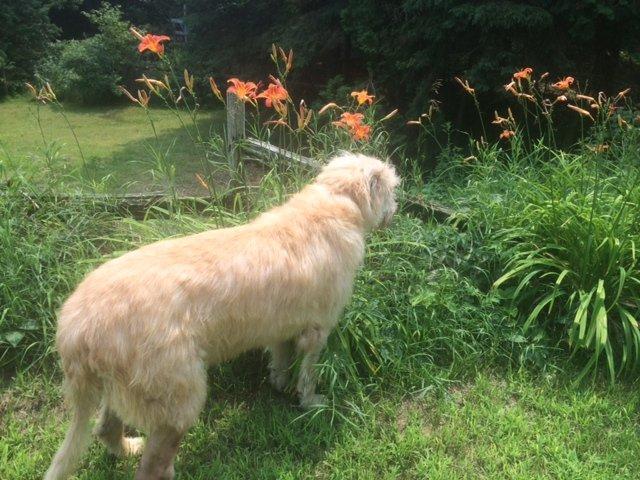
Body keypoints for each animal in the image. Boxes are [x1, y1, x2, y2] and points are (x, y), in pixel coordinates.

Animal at [44, 153, 399, 480]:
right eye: (393, 189)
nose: (396, 211)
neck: (335, 202)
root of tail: (75, 328)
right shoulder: (317, 329)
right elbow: (308, 373)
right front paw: (311, 402)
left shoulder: (282, 327)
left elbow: (282, 361)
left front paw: (280, 385)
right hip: (176, 396)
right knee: (151, 467)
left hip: (124, 386)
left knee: (106, 429)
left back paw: (128, 447)